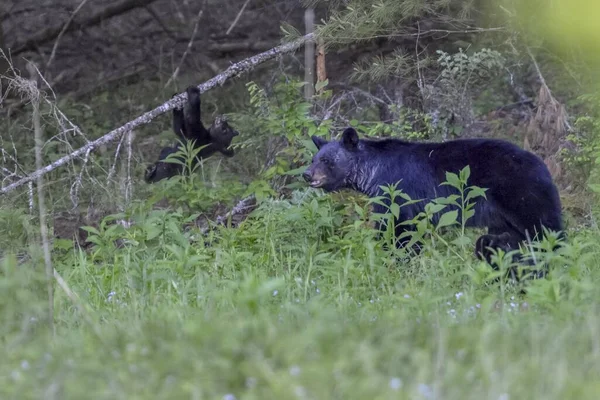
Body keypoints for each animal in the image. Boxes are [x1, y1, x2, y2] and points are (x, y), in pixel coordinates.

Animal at [302, 127, 564, 272]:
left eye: (326, 160)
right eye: (314, 158)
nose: (306, 174)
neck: (373, 172)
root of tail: (543, 166)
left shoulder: (399, 191)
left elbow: (398, 229)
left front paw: (394, 259)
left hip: (521, 194)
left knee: (545, 229)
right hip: (502, 215)